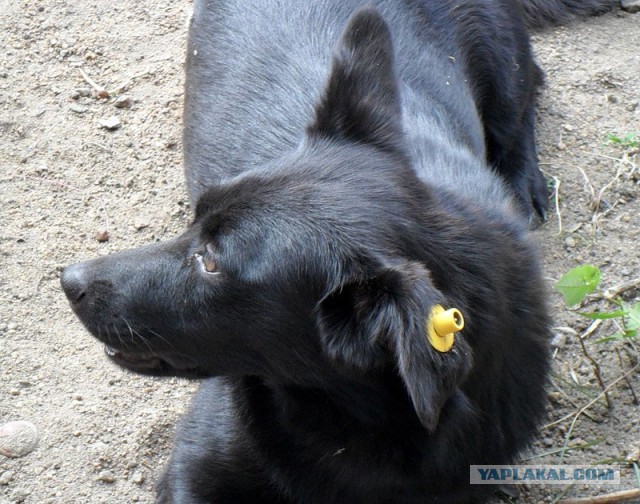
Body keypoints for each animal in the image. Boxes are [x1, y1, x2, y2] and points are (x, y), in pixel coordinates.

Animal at [61, 0, 616, 504]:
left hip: (503, 62)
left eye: (212, 261)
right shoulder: (191, 470)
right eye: (195, 218)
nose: (69, 281)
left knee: (524, 98)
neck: (353, 420)